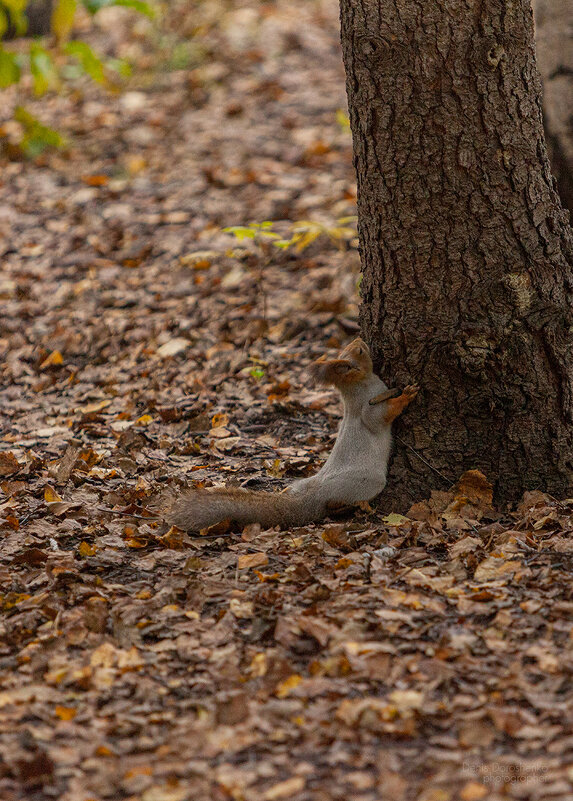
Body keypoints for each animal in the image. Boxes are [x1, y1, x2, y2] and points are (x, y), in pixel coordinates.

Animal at [168, 338, 418, 532]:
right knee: (336, 503)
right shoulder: (368, 405)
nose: (359, 339)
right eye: (359, 351)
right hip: (368, 483)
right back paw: (354, 505)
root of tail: (312, 496)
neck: (355, 388)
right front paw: (406, 395)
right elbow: (378, 417)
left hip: (303, 485)